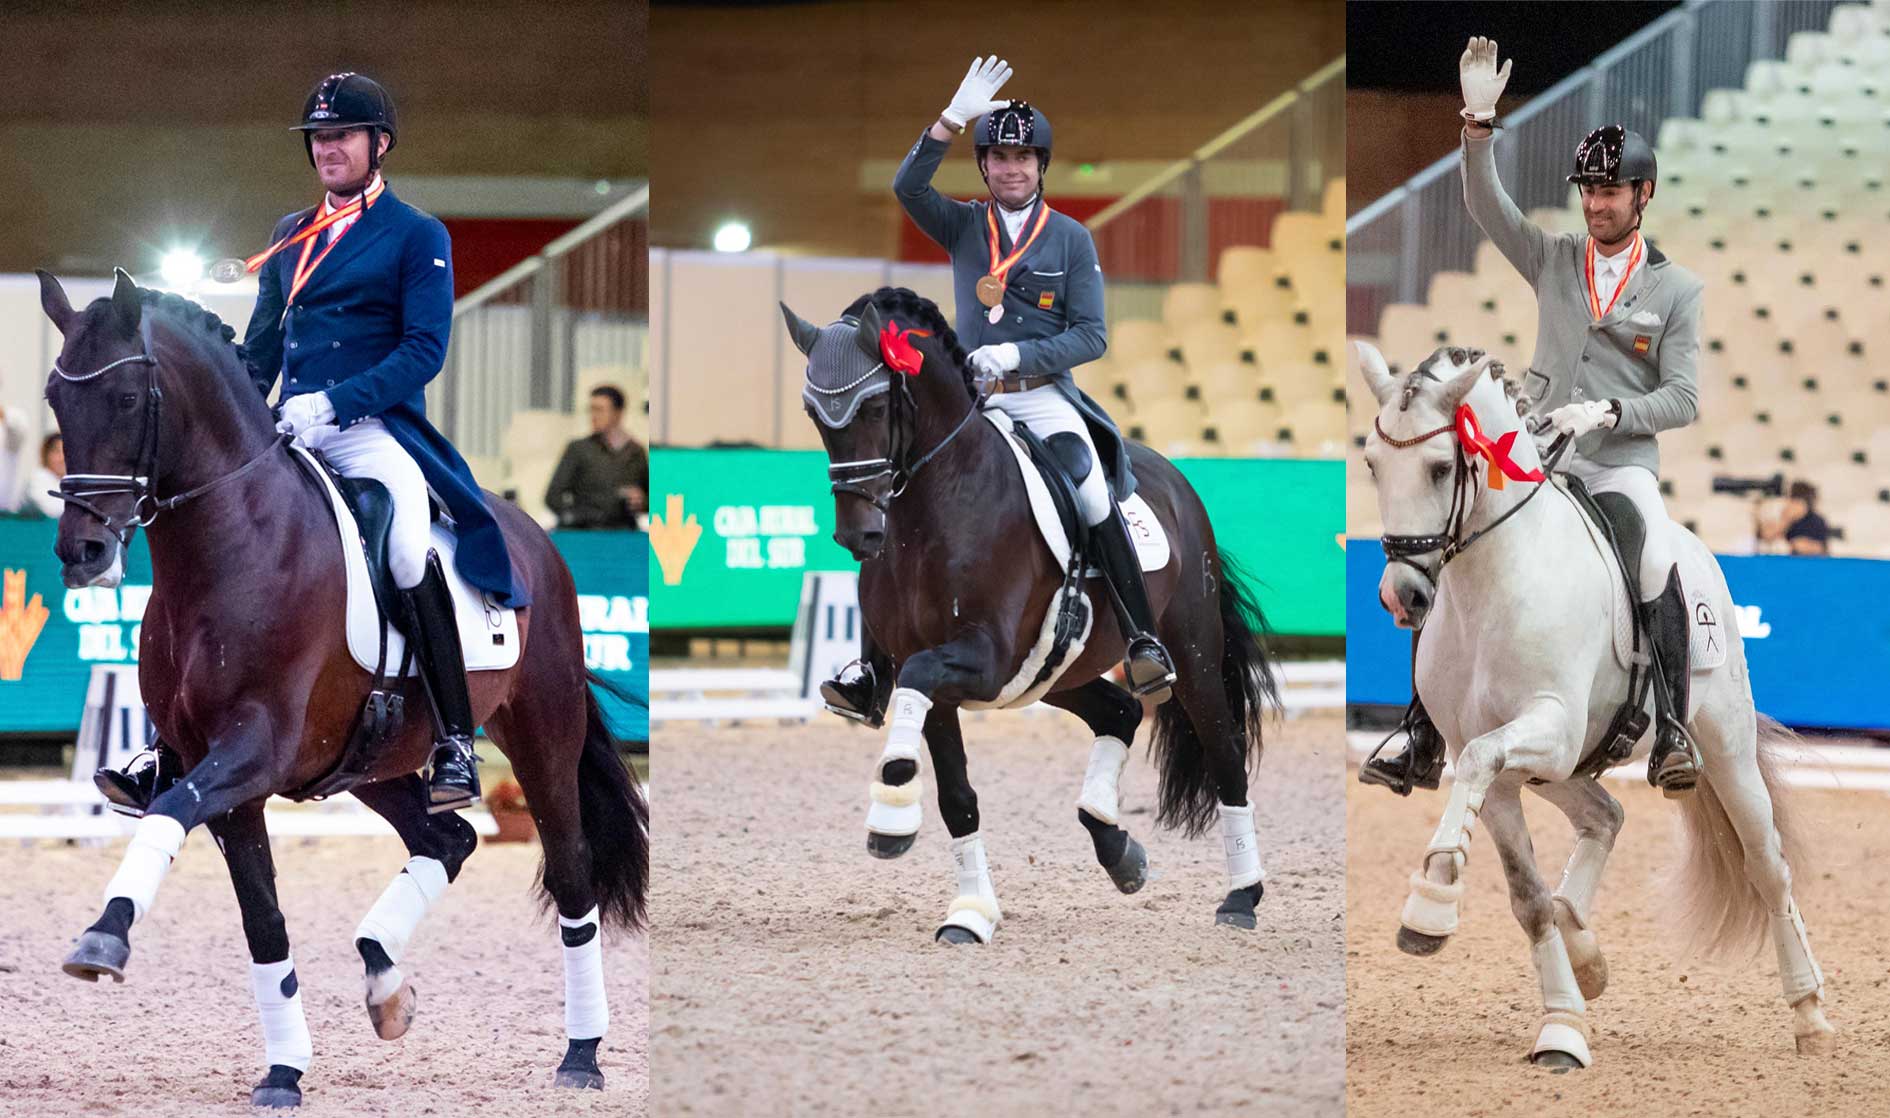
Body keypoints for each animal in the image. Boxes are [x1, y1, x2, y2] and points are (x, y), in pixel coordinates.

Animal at [40, 266, 646, 1102]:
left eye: (129, 398)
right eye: (55, 399)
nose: (84, 552)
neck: (236, 542)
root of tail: (534, 541)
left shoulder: (252, 749)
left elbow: (167, 812)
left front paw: (102, 938)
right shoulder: (222, 772)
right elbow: (262, 921)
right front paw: (285, 1070)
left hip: (540, 736)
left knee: (571, 877)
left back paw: (581, 1054)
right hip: (367, 762)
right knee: (449, 837)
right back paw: (385, 980)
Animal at [774, 288, 1277, 944]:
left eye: (877, 404)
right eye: (813, 414)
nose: (858, 536)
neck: (939, 500)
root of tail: (1176, 482)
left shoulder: (978, 657)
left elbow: (921, 694)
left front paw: (891, 810)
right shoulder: (933, 672)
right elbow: (957, 797)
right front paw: (970, 912)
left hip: (1190, 657)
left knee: (1224, 754)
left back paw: (1242, 897)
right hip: (1054, 672)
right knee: (1119, 712)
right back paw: (1118, 849)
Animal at [1353, 343, 1837, 1072]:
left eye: (1439, 467)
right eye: (1373, 466)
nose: (1403, 596)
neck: (1493, 583)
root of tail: (1700, 552)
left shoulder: (1544, 730)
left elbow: (1480, 762)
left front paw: (1430, 903)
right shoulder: (1499, 769)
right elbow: (1528, 898)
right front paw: (1561, 1025)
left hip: (1722, 750)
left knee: (1767, 866)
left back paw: (1810, 1014)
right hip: (1564, 769)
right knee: (1604, 816)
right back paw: (1584, 952)